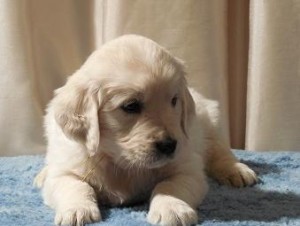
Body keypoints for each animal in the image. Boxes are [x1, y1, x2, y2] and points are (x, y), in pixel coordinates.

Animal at [34, 34, 255, 225]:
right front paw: (77, 211)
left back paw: (237, 171)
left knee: (220, 151)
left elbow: (168, 185)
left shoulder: (188, 168)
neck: (121, 163)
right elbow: (75, 185)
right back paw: (42, 175)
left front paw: (172, 209)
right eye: (131, 106)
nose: (169, 145)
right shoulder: (66, 170)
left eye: (174, 101)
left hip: (210, 122)